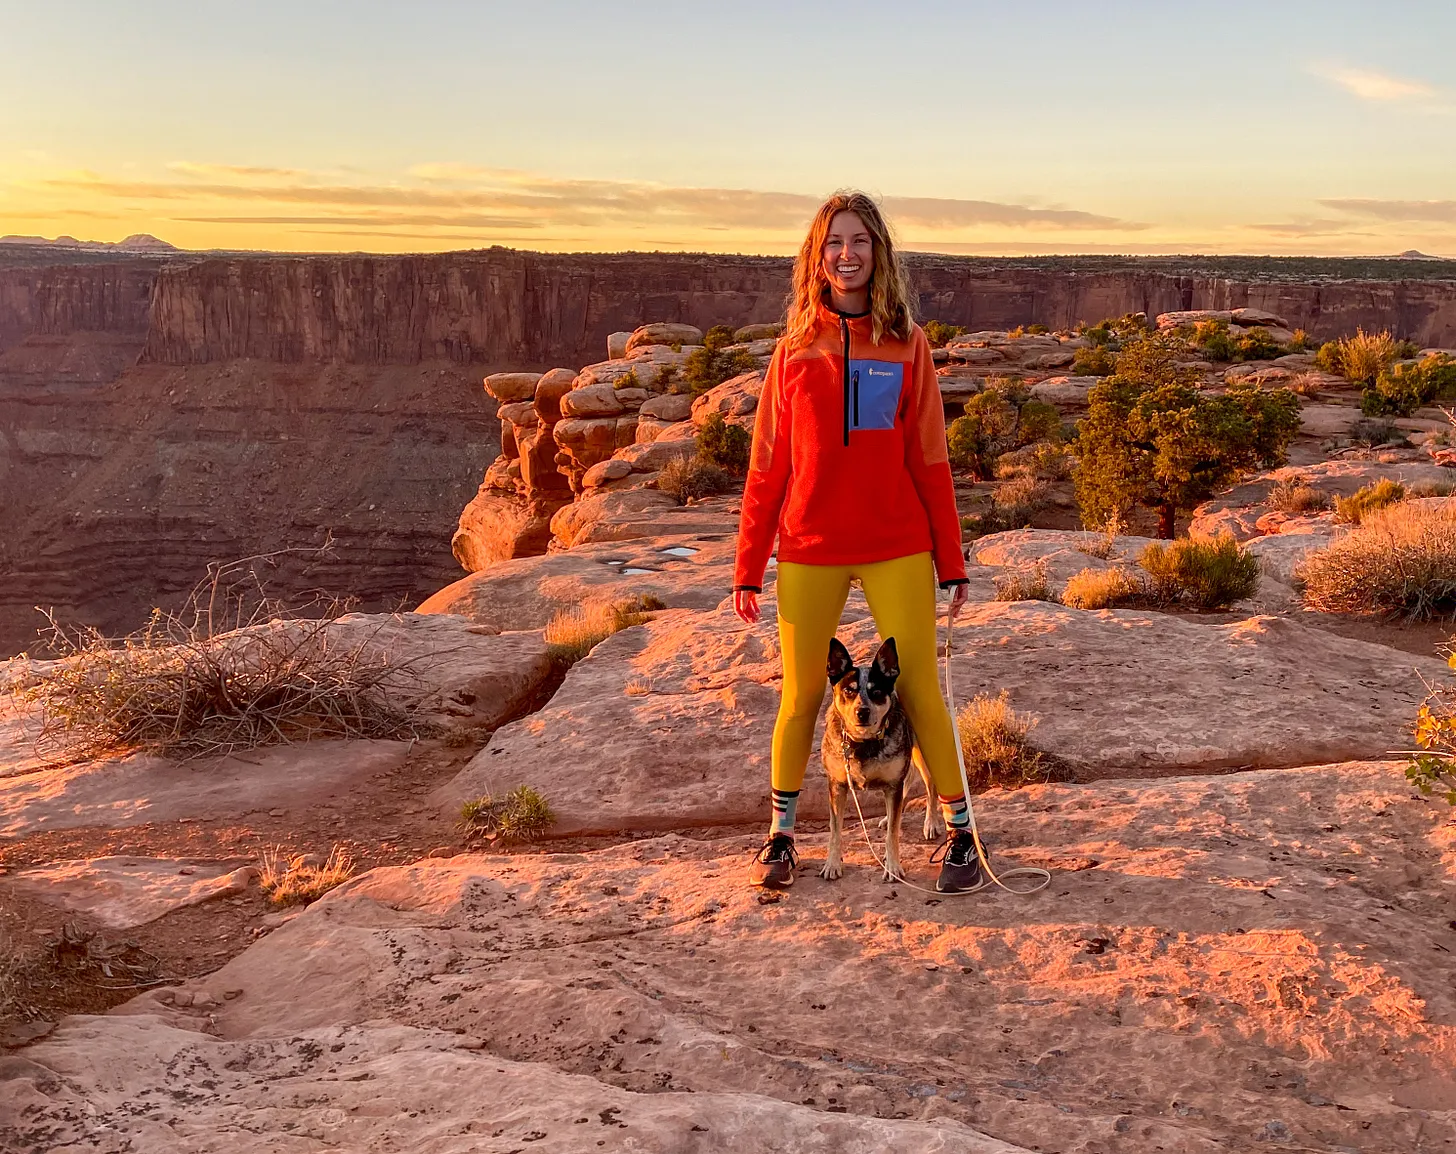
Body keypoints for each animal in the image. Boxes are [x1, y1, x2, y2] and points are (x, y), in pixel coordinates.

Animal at [821, 634, 943, 878]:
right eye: (849, 691)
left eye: (876, 692)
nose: (862, 711)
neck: (862, 742)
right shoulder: (837, 785)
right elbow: (835, 831)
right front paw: (832, 864)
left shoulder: (893, 782)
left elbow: (892, 836)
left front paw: (893, 866)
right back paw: (888, 818)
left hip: (923, 754)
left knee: (929, 786)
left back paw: (931, 823)